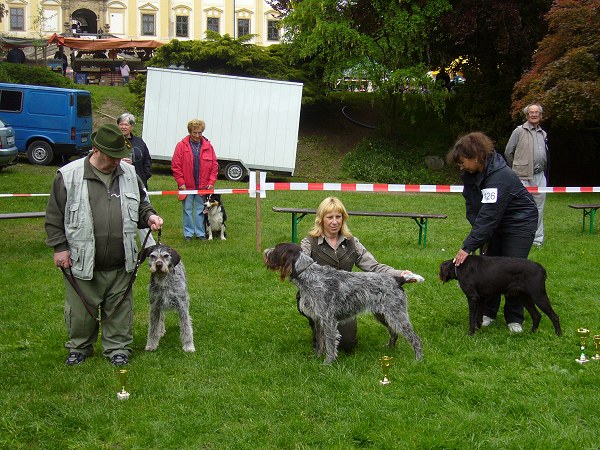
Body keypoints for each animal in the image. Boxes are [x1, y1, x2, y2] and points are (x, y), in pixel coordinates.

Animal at [264, 241, 424, 364]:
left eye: (276, 249)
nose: (265, 252)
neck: (309, 275)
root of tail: (398, 279)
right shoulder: (318, 320)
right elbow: (320, 342)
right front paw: (317, 358)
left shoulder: (328, 320)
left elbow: (329, 343)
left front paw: (328, 363)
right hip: (383, 315)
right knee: (393, 332)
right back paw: (389, 349)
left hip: (397, 315)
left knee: (415, 338)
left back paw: (418, 360)